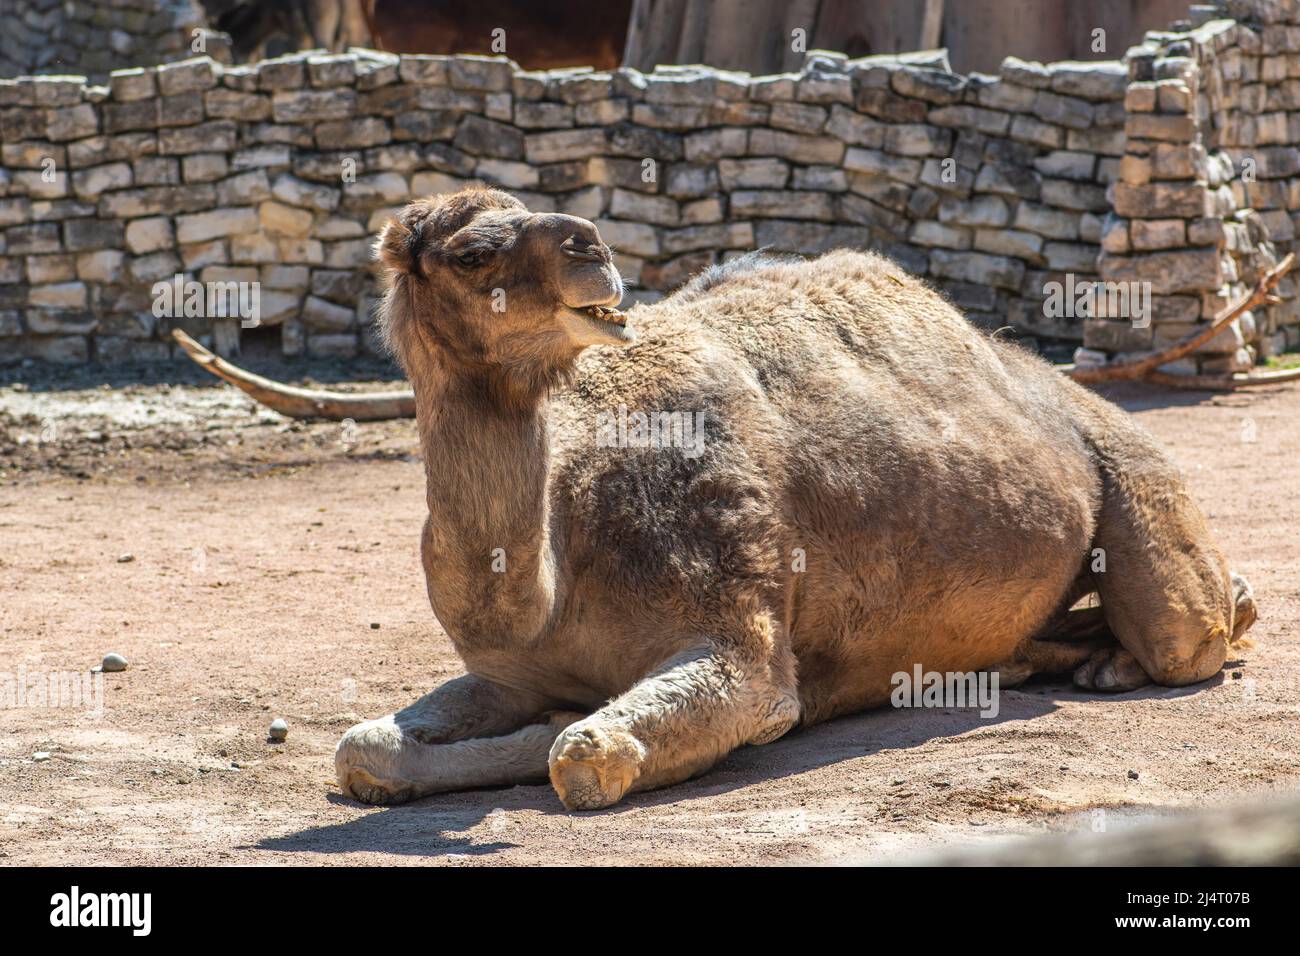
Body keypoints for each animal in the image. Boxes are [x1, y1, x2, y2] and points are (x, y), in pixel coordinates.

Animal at [309, 185, 1258, 810]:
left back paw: (1156, 645)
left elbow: (586, 750)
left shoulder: (740, 632)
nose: (593, 249)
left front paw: (569, 729)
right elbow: (361, 750)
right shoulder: (507, 671)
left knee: (1183, 633)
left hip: (1125, 464)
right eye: (472, 251)